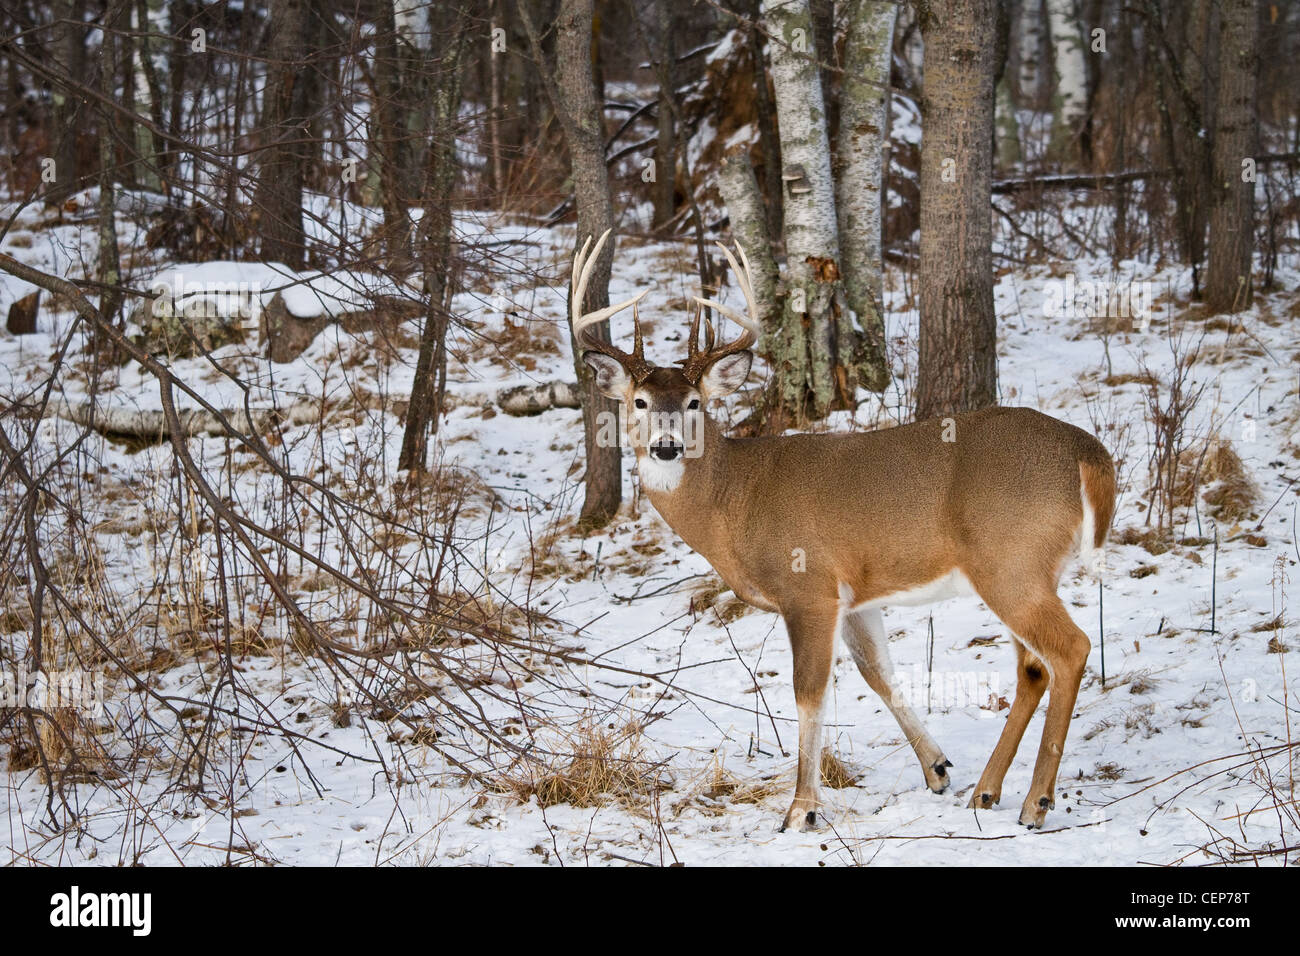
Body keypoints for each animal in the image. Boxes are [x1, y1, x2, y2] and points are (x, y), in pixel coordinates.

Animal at [577, 231, 1118, 832]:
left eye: (695, 403)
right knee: (1032, 667)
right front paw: (938, 770)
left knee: (1069, 649)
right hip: (1023, 570)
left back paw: (1035, 802)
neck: (733, 500)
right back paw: (985, 791)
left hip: (1011, 561)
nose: (667, 446)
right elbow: (878, 673)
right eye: (640, 402)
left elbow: (809, 692)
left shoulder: (809, 587)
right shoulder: (858, 595)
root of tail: (1088, 452)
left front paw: (801, 810)